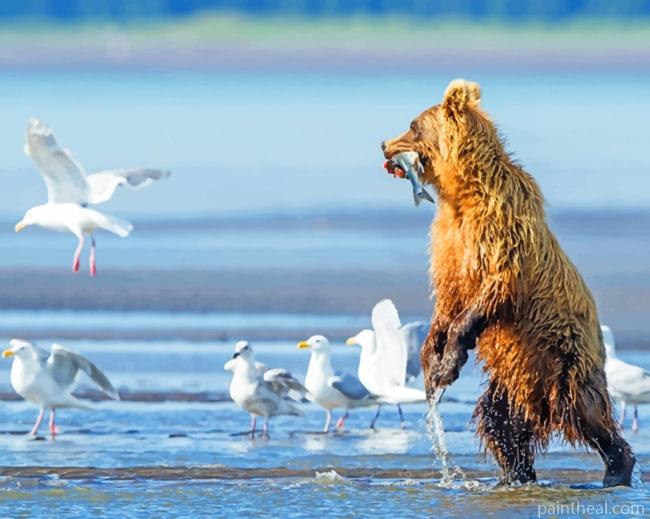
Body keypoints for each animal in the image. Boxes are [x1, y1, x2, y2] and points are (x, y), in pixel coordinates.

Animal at [381, 79, 635, 487]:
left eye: (413, 125)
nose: (384, 144)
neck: (463, 194)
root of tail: (538, 403)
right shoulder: (449, 245)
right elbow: (448, 299)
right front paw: (430, 356)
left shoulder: (502, 235)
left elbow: (490, 293)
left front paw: (447, 364)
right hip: (512, 381)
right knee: (501, 425)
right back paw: (515, 475)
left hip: (565, 359)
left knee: (587, 414)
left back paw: (616, 469)